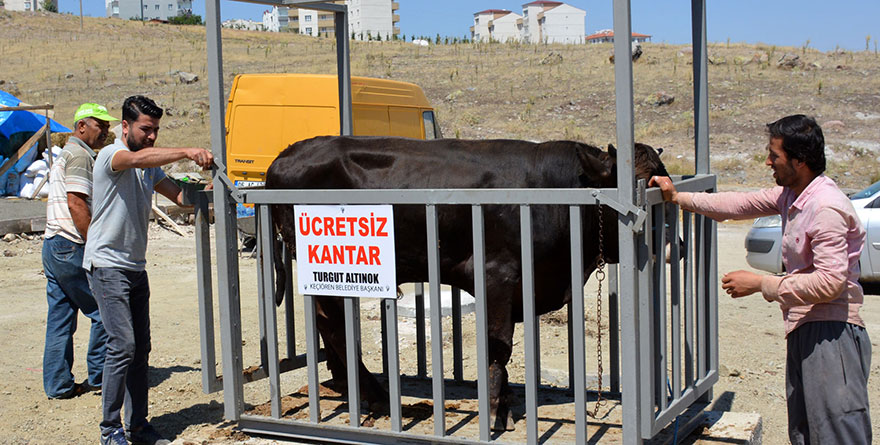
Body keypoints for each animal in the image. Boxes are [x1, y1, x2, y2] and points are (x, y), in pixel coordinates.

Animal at [268, 136, 668, 430]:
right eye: (643, 183)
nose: (670, 242)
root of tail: (285, 155)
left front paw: (504, 406)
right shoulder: (496, 275)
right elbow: (498, 346)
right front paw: (494, 412)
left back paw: (345, 384)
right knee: (332, 324)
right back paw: (378, 395)